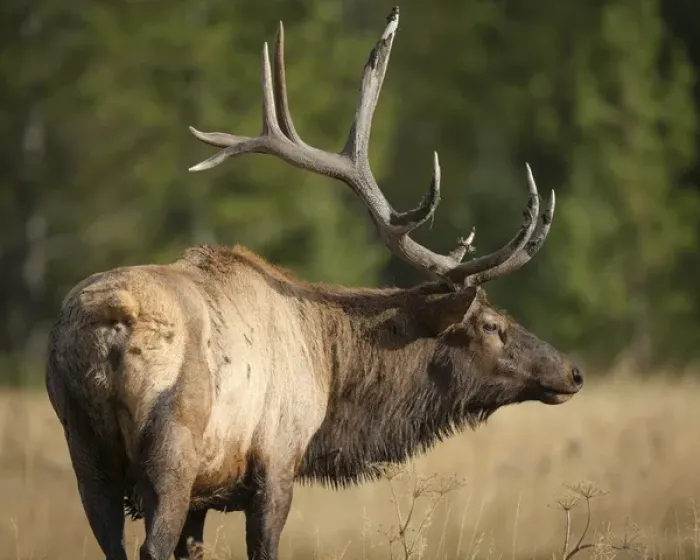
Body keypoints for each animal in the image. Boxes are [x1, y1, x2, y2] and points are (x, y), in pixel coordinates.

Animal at [45, 7, 583, 560]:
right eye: (491, 324)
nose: (572, 372)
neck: (330, 362)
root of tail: (109, 325)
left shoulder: (204, 493)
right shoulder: (278, 459)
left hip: (83, 449)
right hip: (172, 444)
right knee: (149, 543)